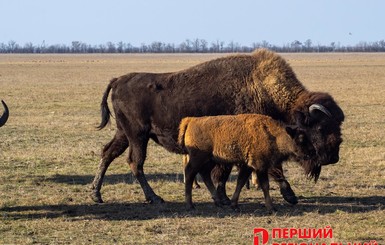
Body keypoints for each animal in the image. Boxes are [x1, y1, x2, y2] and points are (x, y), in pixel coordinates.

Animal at [177, 114, 316, 212]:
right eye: (301, 138)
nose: (313, 151)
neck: (273, 135)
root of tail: (190, 121)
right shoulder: (260, 166)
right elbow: (265, 186)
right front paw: (271, 207)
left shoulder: (248, 166)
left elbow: (240, 182)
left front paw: (234, 205)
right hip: (198, 158)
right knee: (189, 173)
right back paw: (190, 205)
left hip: (210, 160)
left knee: (205, 175)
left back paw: (218, 202)